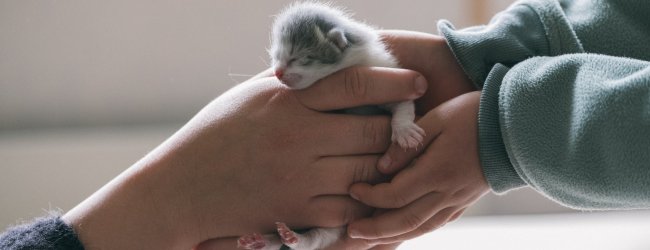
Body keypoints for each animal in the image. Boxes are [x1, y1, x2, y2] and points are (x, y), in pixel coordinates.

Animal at [238, 2, 426, 250]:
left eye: (297, 58)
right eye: (276, 57)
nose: (277, 73)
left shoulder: (383, 73)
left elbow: (403, 103)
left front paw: (405, 131)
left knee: (319, 236)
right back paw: (267, 240)